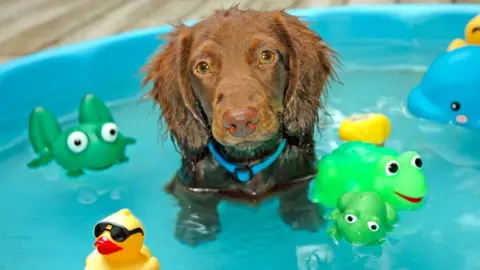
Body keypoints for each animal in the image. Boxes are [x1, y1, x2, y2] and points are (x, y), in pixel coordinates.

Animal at [144, 6, 336, 247]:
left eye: (267, 56)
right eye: (202, 67)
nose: (241, 121)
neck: (247, 164)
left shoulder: (301, 175)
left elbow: (295, 194)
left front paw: (303, 214)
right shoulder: (190, 184)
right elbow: (195, 203)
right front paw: (196, 226)